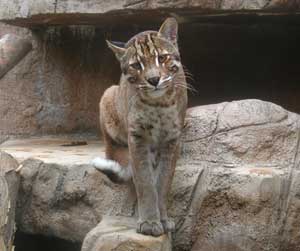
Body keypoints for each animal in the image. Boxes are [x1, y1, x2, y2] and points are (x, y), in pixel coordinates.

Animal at [92, 18, 188, 237]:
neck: (158, 103)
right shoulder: (137, 137)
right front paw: (150, 222)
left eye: (162, 58)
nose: (153, 80)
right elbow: (144, 181)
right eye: (136, 65)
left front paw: (162, 219)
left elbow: (163, 181)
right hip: (107, 94)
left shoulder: (172, 139)